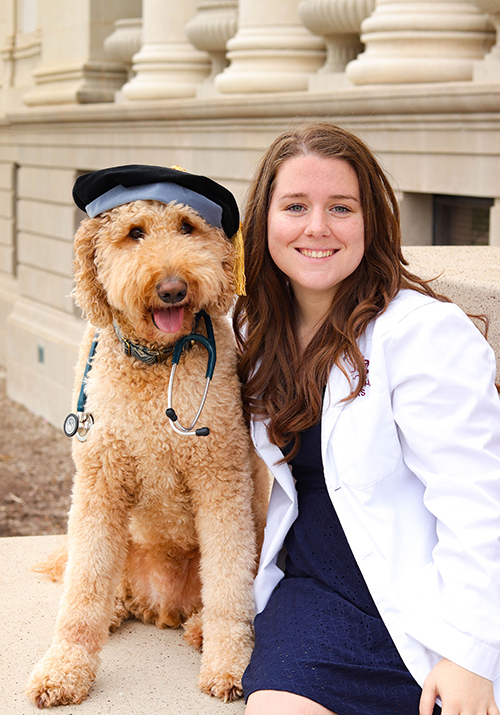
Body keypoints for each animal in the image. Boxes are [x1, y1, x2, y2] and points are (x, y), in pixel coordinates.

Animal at [25, 166, 270, 712]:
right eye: (134, 232)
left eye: (186, 227)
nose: (174, 288)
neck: (155, 362)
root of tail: (163, 605)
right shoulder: (99, 482)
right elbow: (83, 586)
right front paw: (65, 667)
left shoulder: (220, 477)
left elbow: (229, 582)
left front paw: (229, 663)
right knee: (100, 582)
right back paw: (116, 609)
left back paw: (199, 630)